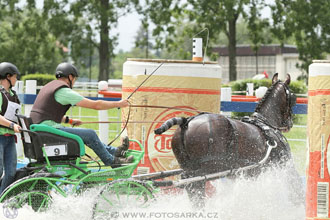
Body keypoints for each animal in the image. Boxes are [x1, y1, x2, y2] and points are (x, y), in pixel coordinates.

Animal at [155, 73, 304, 208]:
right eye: (294, 98)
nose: (290, 123)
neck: (265, 123)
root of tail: (186, 122)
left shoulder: (251, 173)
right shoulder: (284, 164)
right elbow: (294, 183)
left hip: (191, 167)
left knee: (193, 188)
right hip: (207, 168)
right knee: (194, 184)